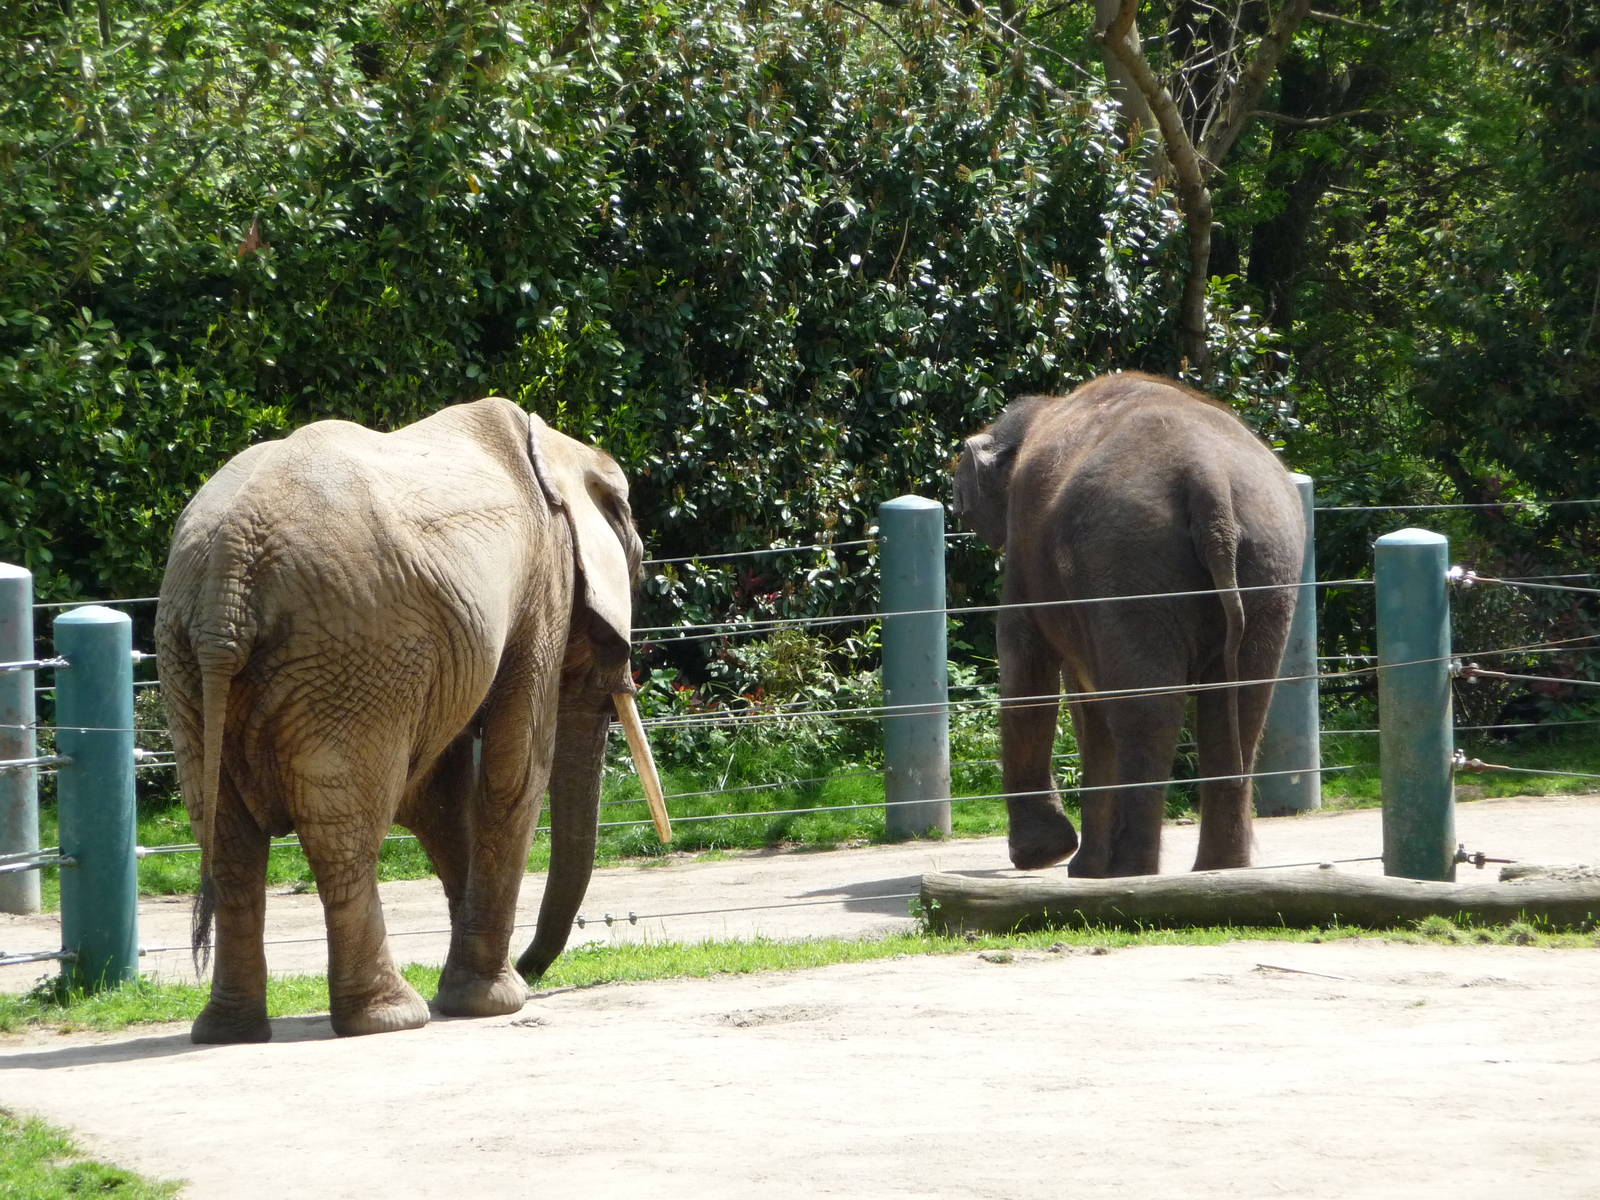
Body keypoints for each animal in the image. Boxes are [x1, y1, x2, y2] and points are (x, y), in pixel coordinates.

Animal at [155, 396, 658, 1042]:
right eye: (638, 573)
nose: (534, 971)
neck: (560, 450)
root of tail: (229, 573)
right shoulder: (541, 587)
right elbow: (515, 767)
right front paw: (495, 1002)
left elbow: (441, 800)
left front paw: (476, 992)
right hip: (354, 653)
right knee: (342, 833)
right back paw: (392, 1017)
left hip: (188, 660)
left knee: (226, 838)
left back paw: (231, 1032)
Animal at [952, 372, 1305, 877]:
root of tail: (1209, 480)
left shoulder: (1026, 547)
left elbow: (1028, 660)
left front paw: (1053, 858)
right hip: (1268, 561)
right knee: (1239, 705)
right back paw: (1219, 869)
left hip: (1127, 557)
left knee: (1147, 710)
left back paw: (1129, 871)